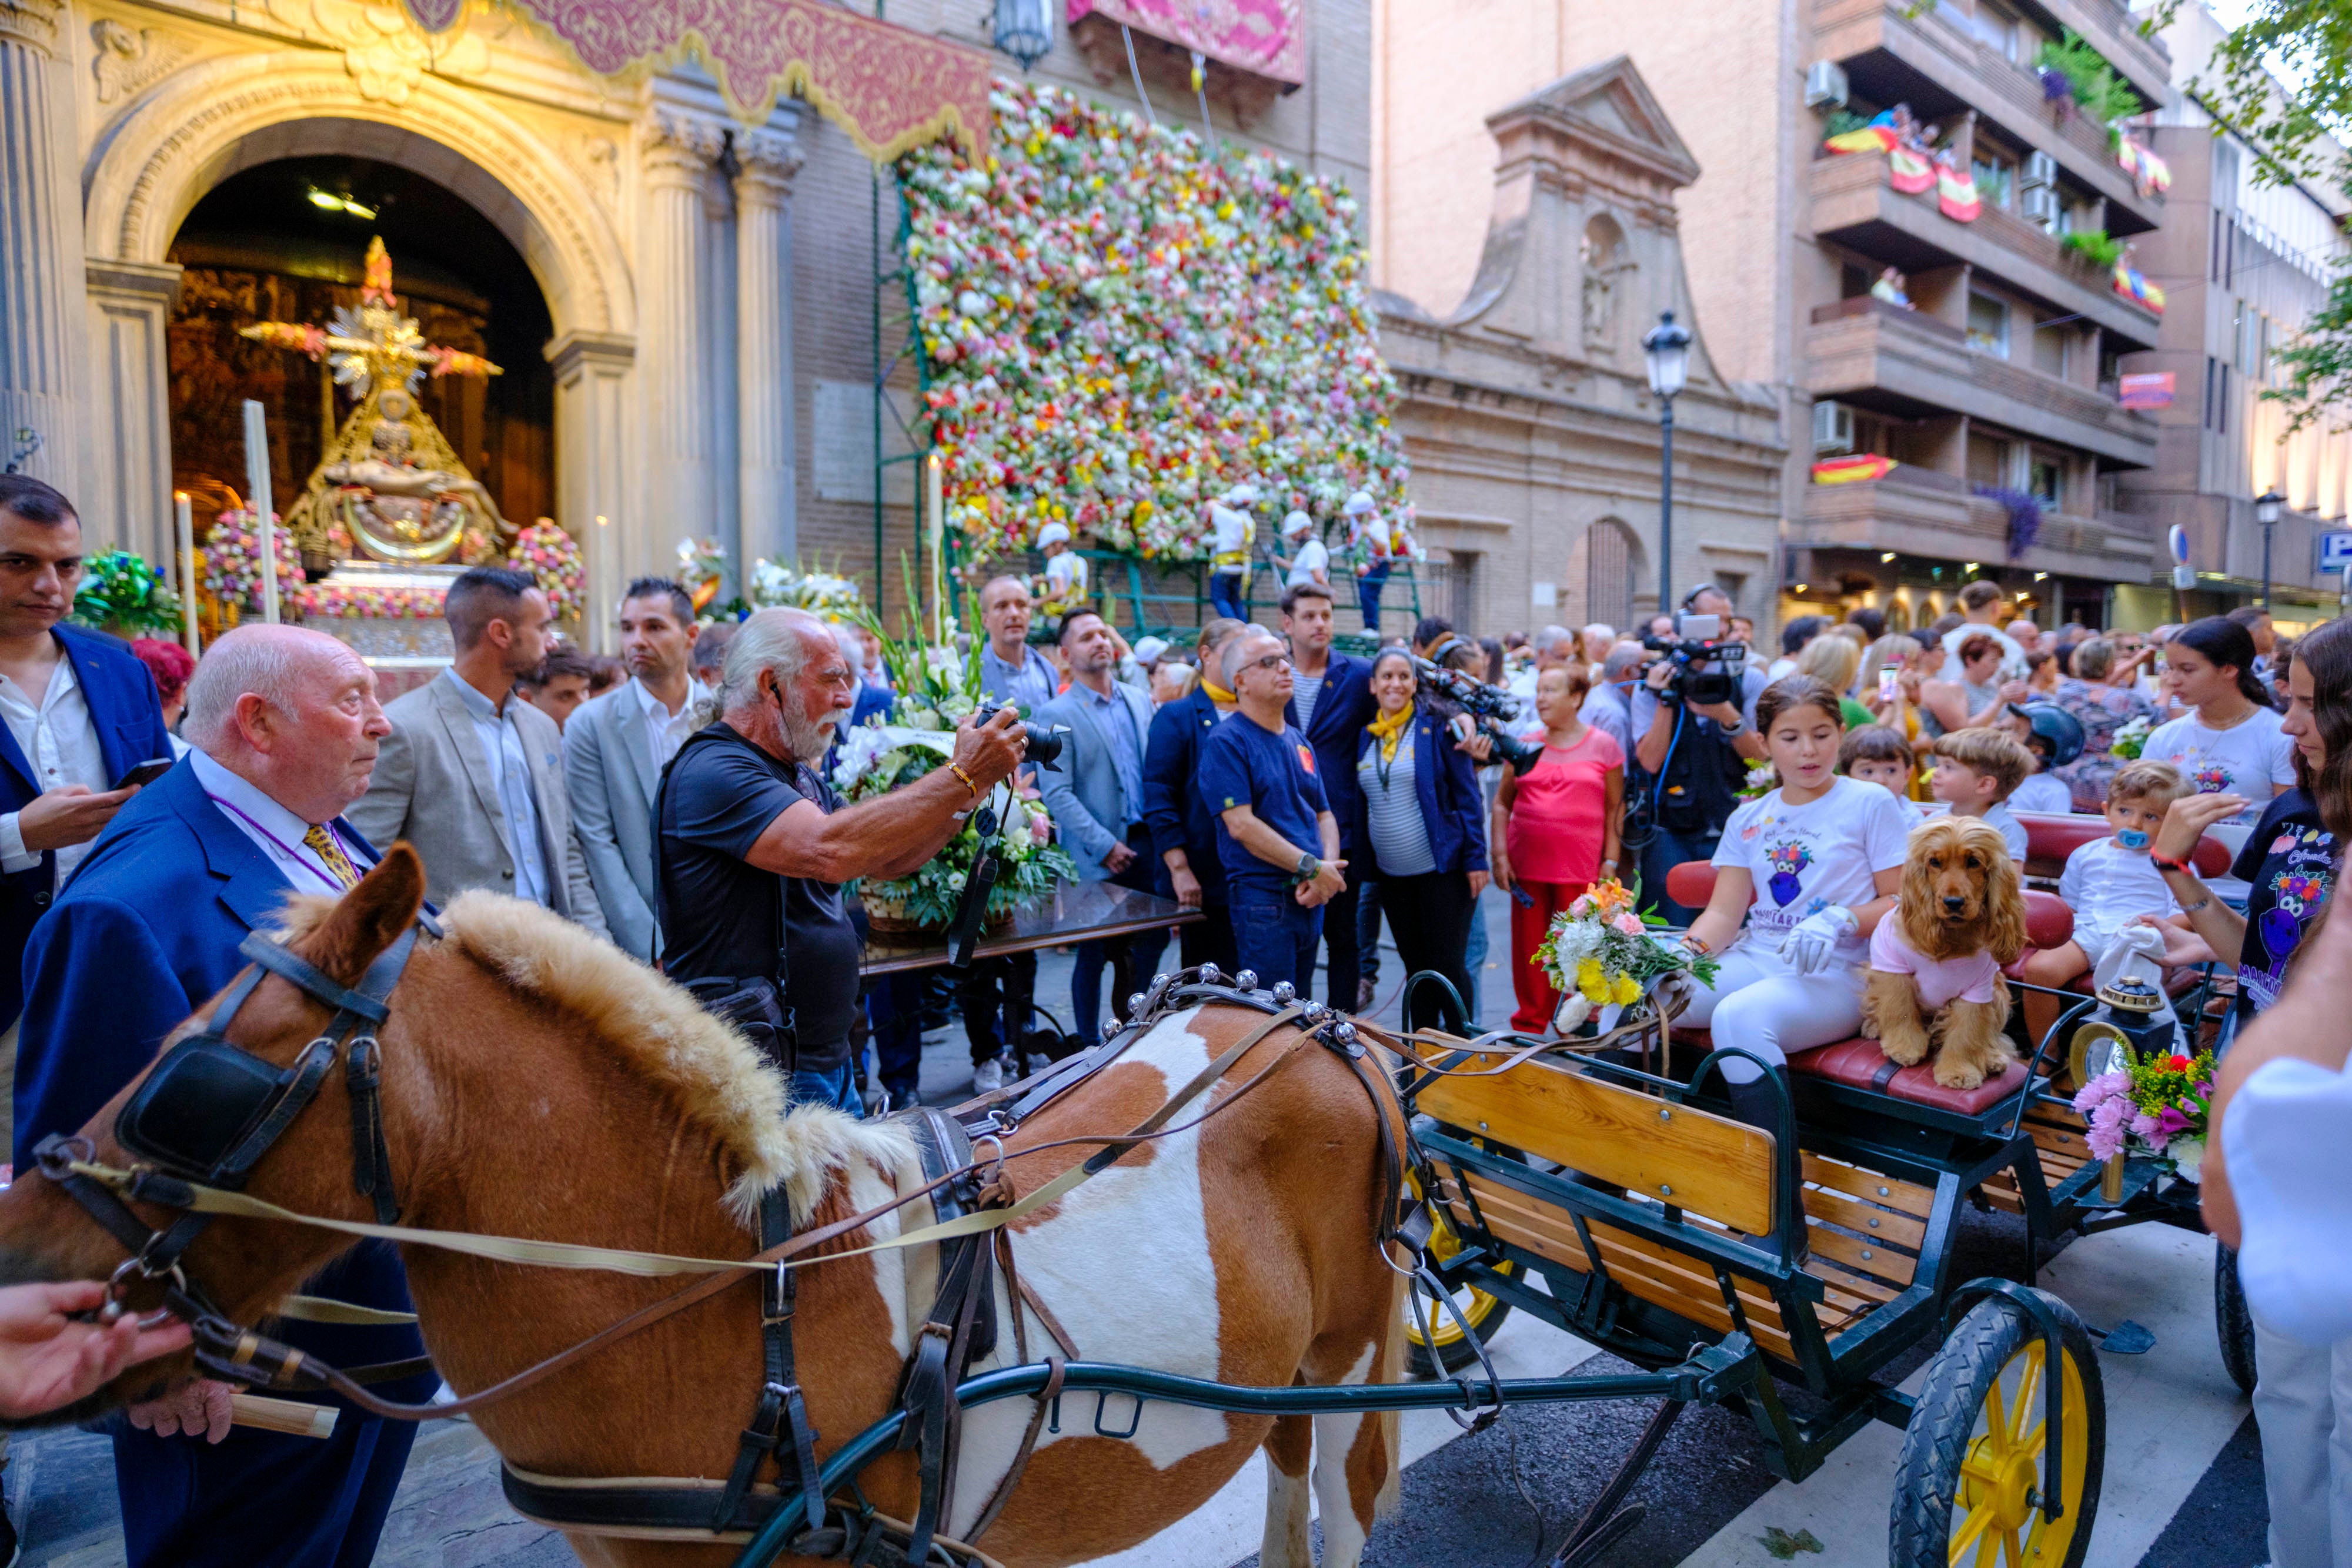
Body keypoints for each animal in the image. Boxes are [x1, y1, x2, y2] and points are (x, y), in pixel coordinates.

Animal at [0, 846, 1402, 1568]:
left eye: (191, 1084)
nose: (23, 1258)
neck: (733, 1298)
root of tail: (1322, 1026)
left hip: (1347, 1367)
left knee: (1341, 1497)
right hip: (1280, 1380)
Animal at [1863, 823, 2032, 1091]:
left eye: (1973, 862)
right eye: (1934, 862)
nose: (1953, 902)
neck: (1952, 938)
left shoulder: (1977, 991)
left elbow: (1966, 1033)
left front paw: (1958, 1072)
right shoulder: (1894, 970)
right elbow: (1900, 1009)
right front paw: (1904, 1049)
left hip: (1998, 991)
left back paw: (1992, 1057)